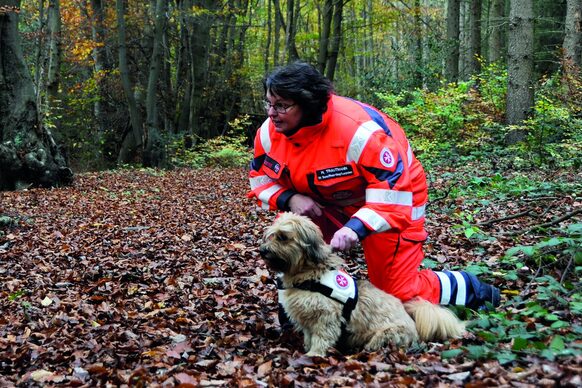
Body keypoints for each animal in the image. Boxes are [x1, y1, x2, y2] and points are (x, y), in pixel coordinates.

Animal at [260, 212, 466, 358]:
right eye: (271, 235)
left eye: (283, 237)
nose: (262, 250)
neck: (309, 273)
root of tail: (413, 322)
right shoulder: (307, 321)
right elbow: (309, 337)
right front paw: (307, 349)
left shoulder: (326, 319)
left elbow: (321, 338)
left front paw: (314, 354)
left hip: (384, 334)